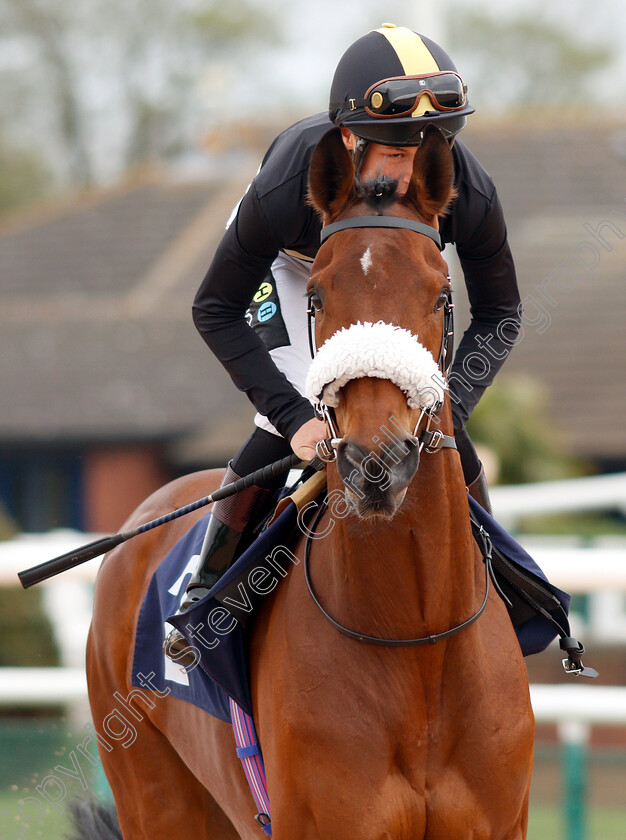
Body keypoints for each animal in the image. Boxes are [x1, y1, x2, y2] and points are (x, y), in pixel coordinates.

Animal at [84, 126, 532, 840]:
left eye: (441, 294)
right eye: (318, 297)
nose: (376, 461)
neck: (416, 638)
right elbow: (215, 306)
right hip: (155, 795)